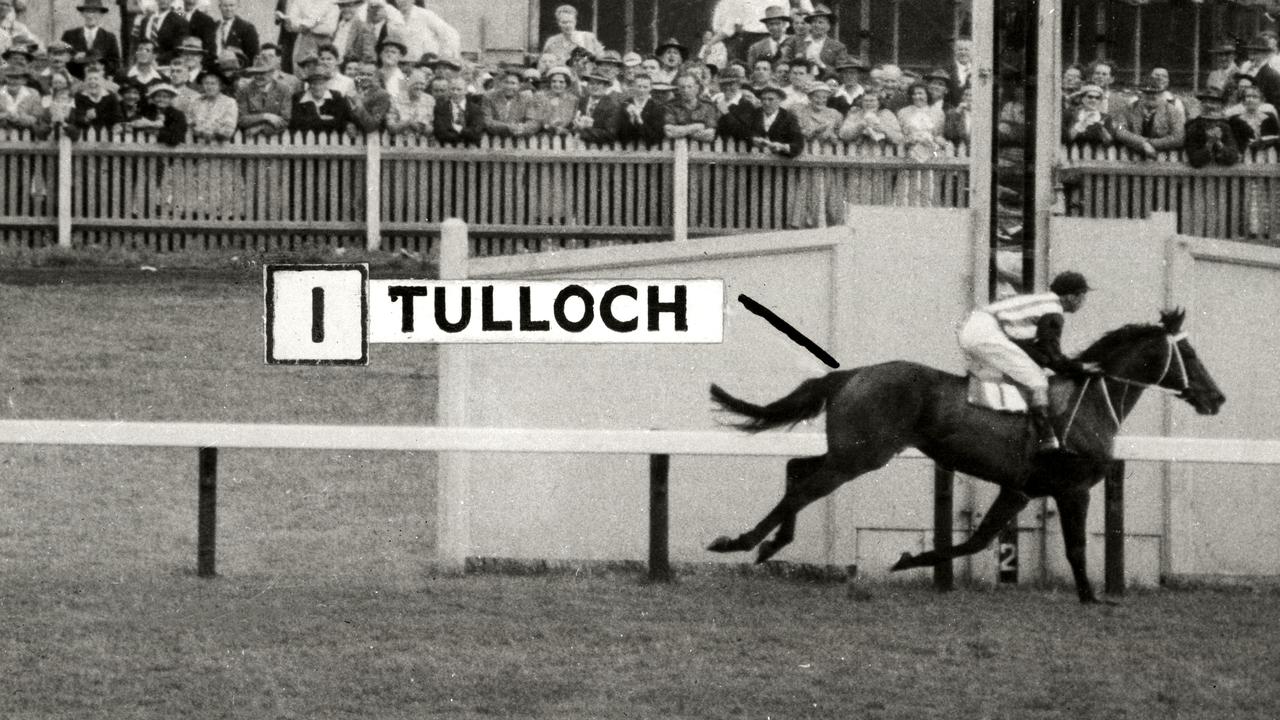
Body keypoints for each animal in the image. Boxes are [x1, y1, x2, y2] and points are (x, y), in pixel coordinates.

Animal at [706, 308, 1223, 599]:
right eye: (1191, 355)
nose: (1216, 398)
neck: (1092, 401)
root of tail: (850, 374)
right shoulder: (1073, 488)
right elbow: (1076, 547)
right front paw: (1091, 598)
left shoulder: (1018, 489)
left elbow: (977, 541)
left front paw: (908, 561)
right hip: (860, 456)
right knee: (804, 488)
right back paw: (742, 542)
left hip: (850, 452)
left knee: (797, 468)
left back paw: (770, 543)